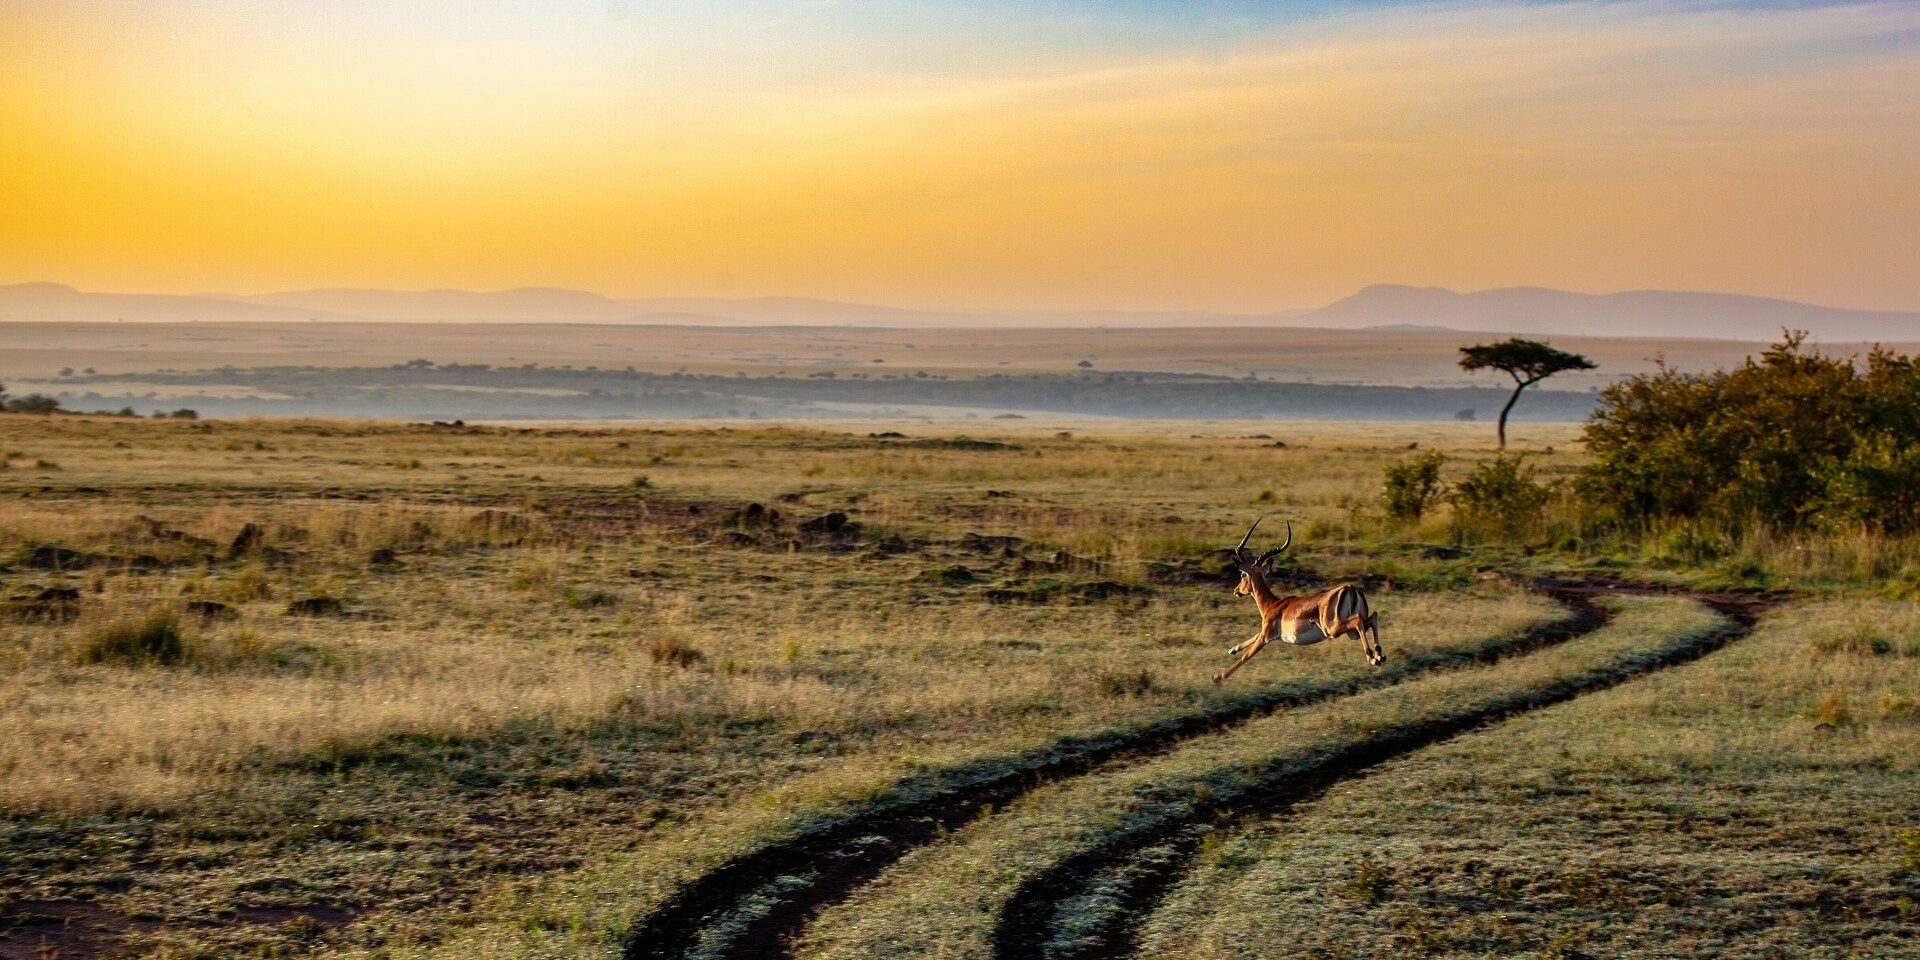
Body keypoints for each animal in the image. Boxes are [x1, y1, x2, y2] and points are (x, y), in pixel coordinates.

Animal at [1216, 518, 1382, 683]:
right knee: (1372, 617)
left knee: (1359, 620)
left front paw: (1218, 676)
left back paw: (1373, 658)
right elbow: (1253, 637)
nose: (1236, 591)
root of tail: (1350, 588)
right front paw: (1233, 649)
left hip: (1333, 629)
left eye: (1242, 575)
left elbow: (1246, 656)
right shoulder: (1267, 633)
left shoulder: (1266, 636)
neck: (1271, 605)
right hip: (1351, 633)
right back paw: (1379, 656)